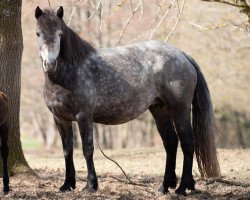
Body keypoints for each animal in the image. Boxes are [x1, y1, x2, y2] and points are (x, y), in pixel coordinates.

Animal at [34, 6, 221, 195]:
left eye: (60, 34)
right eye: (38, 33)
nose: (50, 64)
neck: (69, 74)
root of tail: (183, 55)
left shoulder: (84, 117)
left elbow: (87, 149)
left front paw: (90, 185)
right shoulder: (60, 119)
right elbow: (67, 151)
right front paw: (67, 184)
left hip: (179, 109)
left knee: (188, 143)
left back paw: (182, 187)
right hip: (159, 109)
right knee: (170, 142)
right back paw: (165, 186)